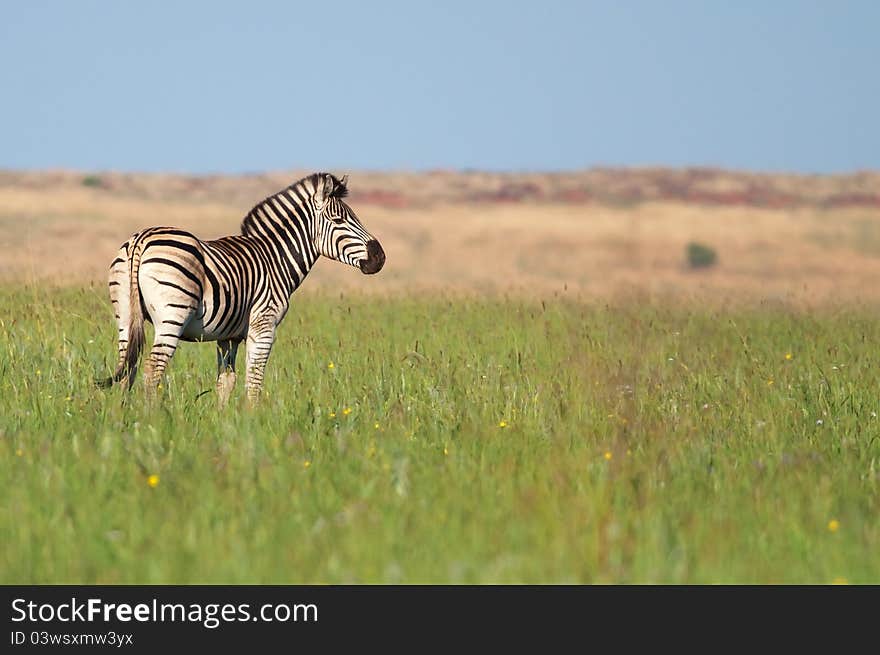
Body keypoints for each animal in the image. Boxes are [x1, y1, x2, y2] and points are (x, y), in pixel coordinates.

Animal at [99, 172, 384, 402]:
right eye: (338, 220)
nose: (379, 257)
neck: (275, 259)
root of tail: (141, 239)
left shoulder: (228, 336)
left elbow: (226, 381)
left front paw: (226, 425)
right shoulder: (264, 326)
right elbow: (254, 382)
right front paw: (253, 424)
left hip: (125, 315)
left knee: (128, 368)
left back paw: (122, 416)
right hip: (172, 316)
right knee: (152, 369)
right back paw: (152, 418)